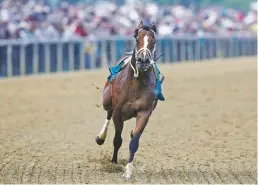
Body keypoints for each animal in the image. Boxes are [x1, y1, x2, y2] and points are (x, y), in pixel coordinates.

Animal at [95, 21, 164, 179]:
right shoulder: (118, 111)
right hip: (107, 100)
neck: (136, 83)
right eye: (137, 40)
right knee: (108, 113)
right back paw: (100, 137)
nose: (143, 60)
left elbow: (134, 142)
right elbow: (117, 140)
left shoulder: (144, 112)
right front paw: (114, 162)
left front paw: (128, 172)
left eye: (154, 42)